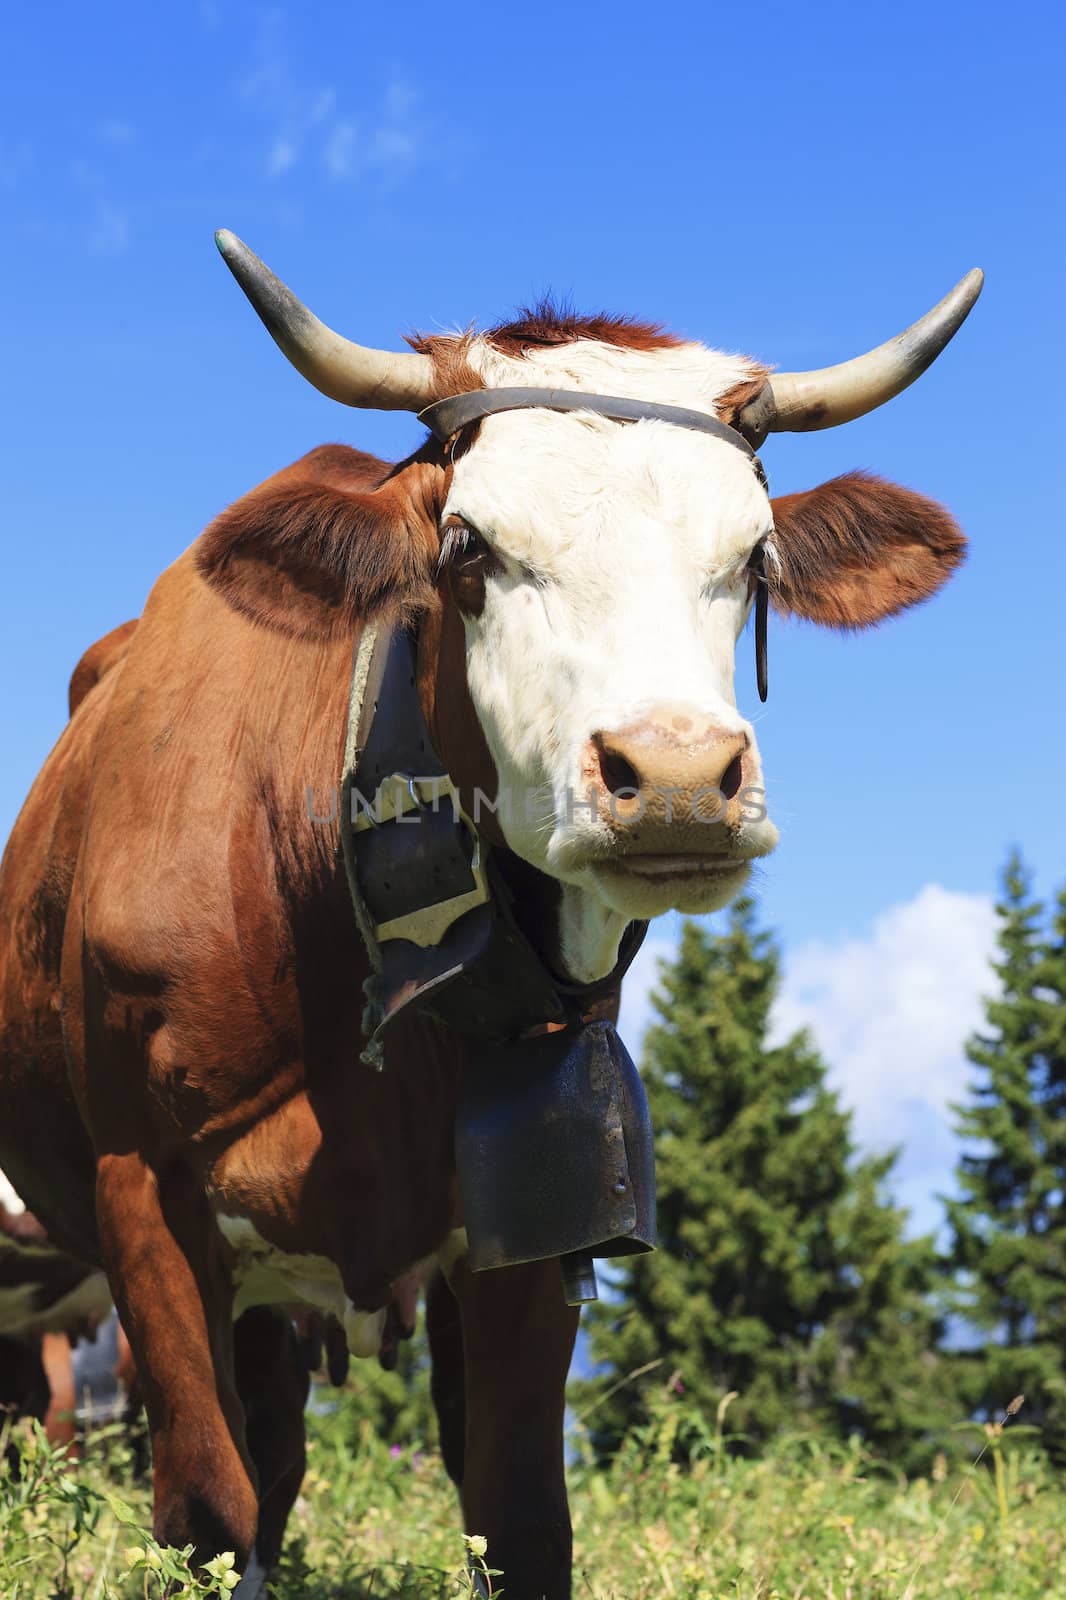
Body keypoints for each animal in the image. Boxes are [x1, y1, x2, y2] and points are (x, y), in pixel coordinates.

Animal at [0, 236, 979, 1600]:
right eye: (467, 545)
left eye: (756, 559)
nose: (676, 772)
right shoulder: (143, 1190)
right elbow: (205, 1505)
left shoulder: (534, 1205)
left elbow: (515, 1517)